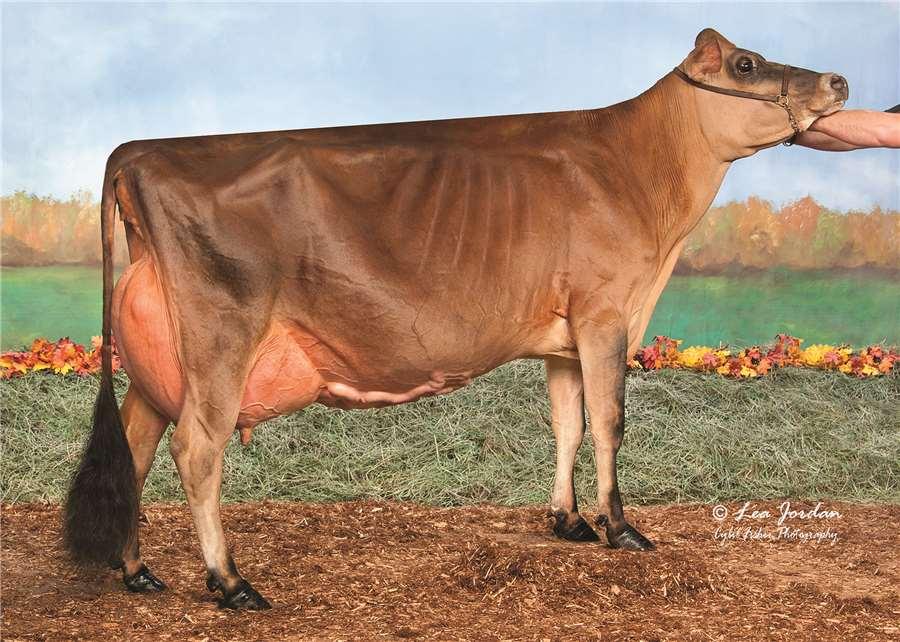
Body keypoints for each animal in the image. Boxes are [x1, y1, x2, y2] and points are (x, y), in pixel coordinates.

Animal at [63, 28, 848, 610]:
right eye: (746, 64)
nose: (839, 81)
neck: (636, 171)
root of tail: (140, 152)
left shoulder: (563, 335)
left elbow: (566, 422)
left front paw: (567, 521)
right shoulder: (604, 313)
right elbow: (609, 421)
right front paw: (621, 528)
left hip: (163, 359)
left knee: (135, 444)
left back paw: (136, 571)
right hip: (221, 336)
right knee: (196, 450)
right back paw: (231, 583)